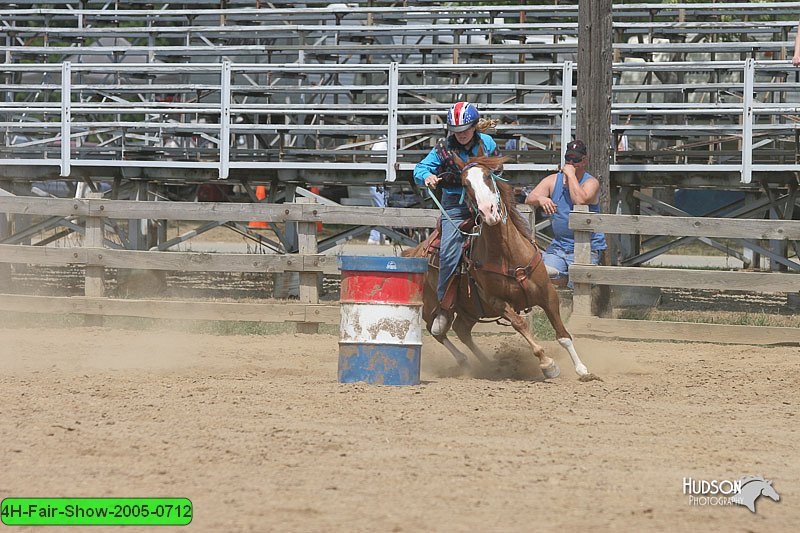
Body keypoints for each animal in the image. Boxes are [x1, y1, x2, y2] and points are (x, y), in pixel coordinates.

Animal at [404, 152, 596, 380]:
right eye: (464, 184)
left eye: (489, 177)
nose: (488, 212)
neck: (508, 254)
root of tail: (414, 252)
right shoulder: (497, 301)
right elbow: (520, 324)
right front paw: (548, 364)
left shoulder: (548, 294)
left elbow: (563, 334)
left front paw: (582, 369)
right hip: (431, 306)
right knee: (437, 331)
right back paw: (467, 360)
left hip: (470, 310)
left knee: (461, 330)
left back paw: (488, 364)